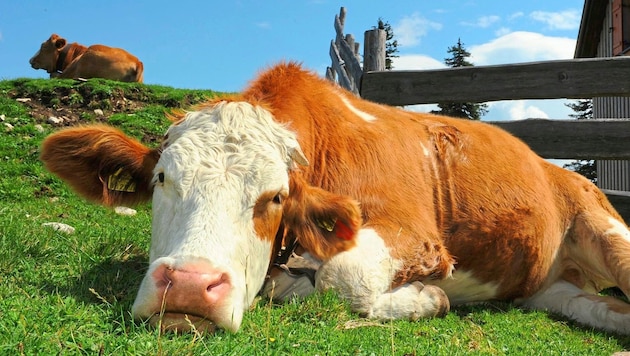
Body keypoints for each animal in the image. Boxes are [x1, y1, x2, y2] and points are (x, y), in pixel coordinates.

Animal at [38, 60, 630, 334]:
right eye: (161, 178)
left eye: (276, 197)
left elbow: (344, 275)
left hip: (607, 233)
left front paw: (426, 299)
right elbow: (294, 283)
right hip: (549, 289)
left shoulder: (417, 236)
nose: (187, 287)